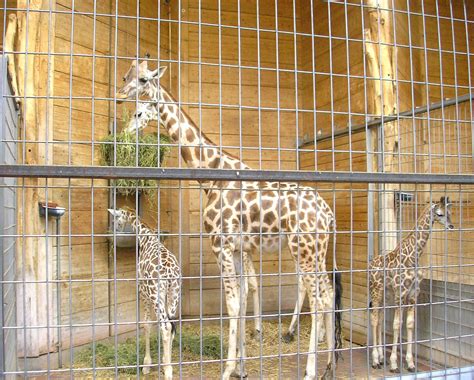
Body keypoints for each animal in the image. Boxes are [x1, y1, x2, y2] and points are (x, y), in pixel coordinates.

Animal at [108, 208, 181, 380]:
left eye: (116, 221)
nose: (116, 231)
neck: (146, 238)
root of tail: (169, 273)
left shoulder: (142, 290)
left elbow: (146, 324)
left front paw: (146, 364)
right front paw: (163, 359)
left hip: (155, 295)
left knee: (165, 326)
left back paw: (168, 371)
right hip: (174, 295)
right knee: (171, 326)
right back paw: (168, 365)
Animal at [116, 58, 342, 378]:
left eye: (144, 80)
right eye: (127, 76)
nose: (120, 95)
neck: (212, 177)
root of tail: (327, 213)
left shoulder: (219, 244)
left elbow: (233, 305)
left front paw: (228, 369)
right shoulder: (237, 248)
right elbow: (243, 300)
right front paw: (242, 367)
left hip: (304, 248)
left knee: (317, 297)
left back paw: (311, 368)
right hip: (318, 250)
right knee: (327, 293)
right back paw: (329, 364)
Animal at [368, 197, 454, 372]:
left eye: (449, 212)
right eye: (439, 214)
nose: (451, 226)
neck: (414, 256)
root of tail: (371, 263)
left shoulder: (414, 293)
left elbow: (409, 324)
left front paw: (410, 363)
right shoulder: (401, 293)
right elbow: (396, 325)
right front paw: (394, 364)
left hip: (386, 293)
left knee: (380, 318)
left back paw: (381, 357)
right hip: (376, 290)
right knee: (374, 318)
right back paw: (375, 360)